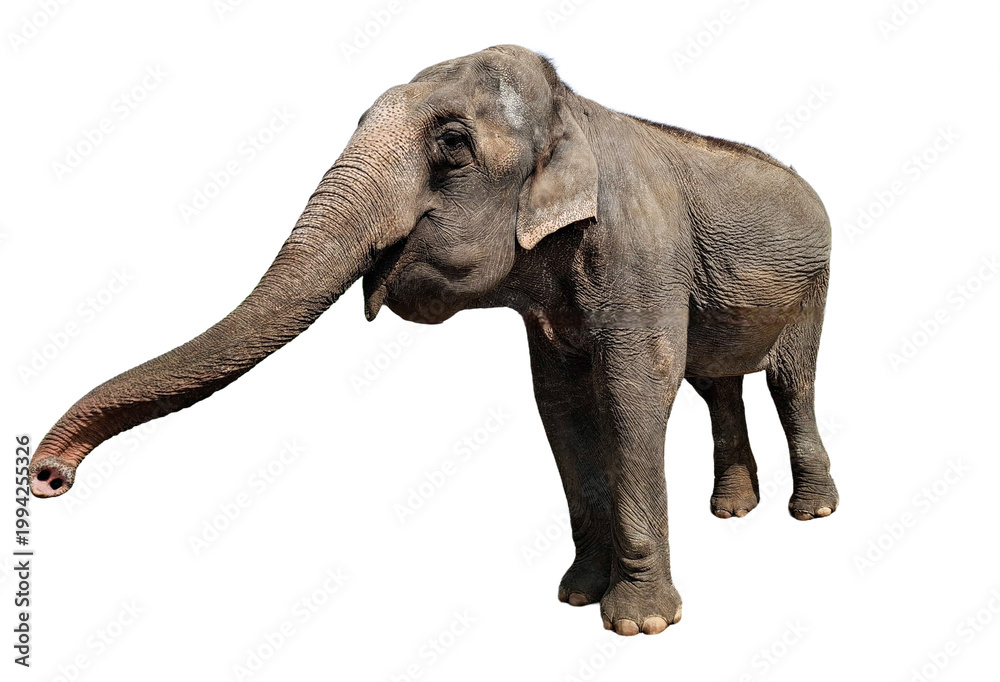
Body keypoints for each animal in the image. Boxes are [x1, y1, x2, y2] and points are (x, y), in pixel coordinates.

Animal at [28, 44, 839, 636]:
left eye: (451, 145)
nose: (45, 476)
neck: (573, 109)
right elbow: (562, 405)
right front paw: (575, 596)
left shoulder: (640, 250)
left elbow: (634, 390)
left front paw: (638, 626)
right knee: (717, 382)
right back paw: (732, 513)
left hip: (815, 286)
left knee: (788, 381)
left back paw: (813, 515)